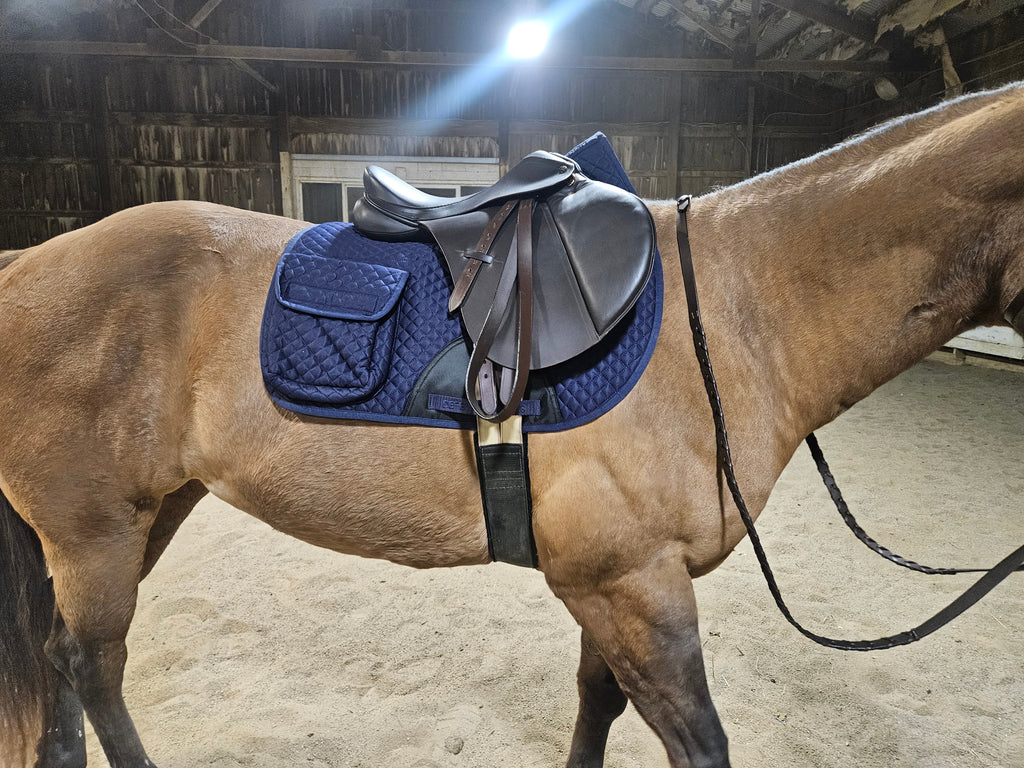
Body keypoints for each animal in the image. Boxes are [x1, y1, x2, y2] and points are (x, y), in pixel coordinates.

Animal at [1, 81, 1022, 768]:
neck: (739, 311)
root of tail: (25, 262)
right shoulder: (633, 586)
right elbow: (696, 740)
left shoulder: (615, 583)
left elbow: (597, 704)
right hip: (95, 533)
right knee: (93, 665)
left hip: (148, 513)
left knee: (58, 662)